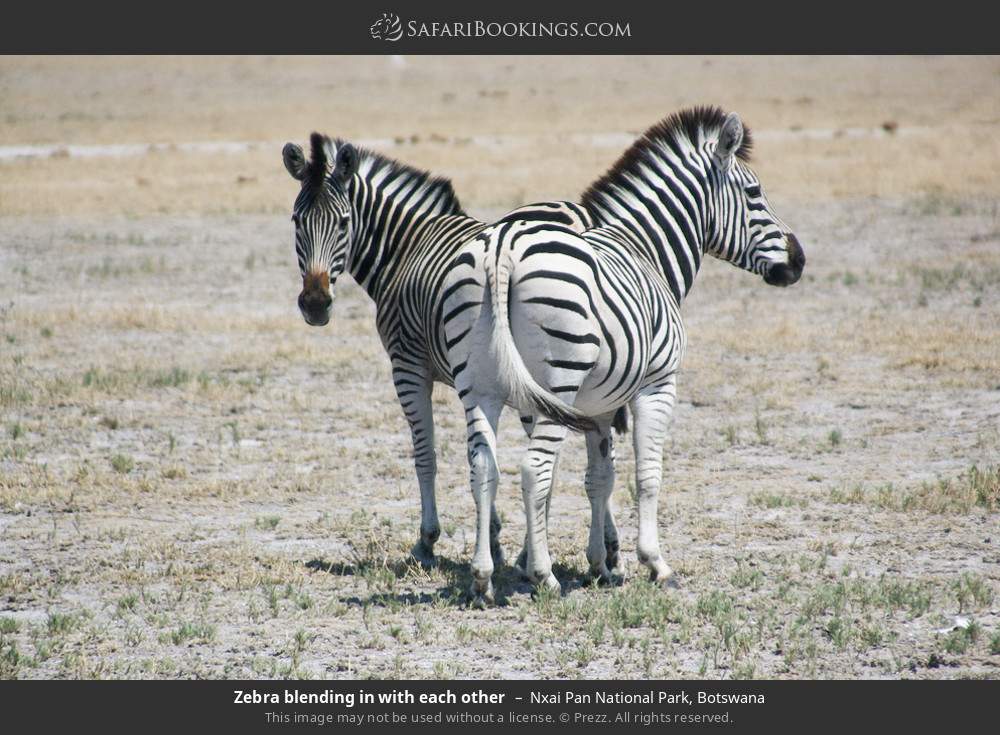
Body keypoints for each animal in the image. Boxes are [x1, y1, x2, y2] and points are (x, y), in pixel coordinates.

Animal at [281, 132, 602, 577]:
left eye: (344, 222)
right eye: (297, 221)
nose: (315, 304)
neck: (405, 248)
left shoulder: (408, 367)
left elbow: (426, 453)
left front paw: (427, 541)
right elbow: (480, 454)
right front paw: (494, 537)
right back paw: (603, 552)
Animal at [441, 106, 806, 602]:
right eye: (754, 194)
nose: (799, 261)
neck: (645, 248)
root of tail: (502, 248)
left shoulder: (598, 405)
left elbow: (600, 478)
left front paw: (600, 564)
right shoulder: (657, 384)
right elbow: (646, 475)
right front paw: (655, 563)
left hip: (480, 387)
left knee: (484, 468)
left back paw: (482, 578)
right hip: (557, 379)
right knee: (534, 469)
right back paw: (544, 576)